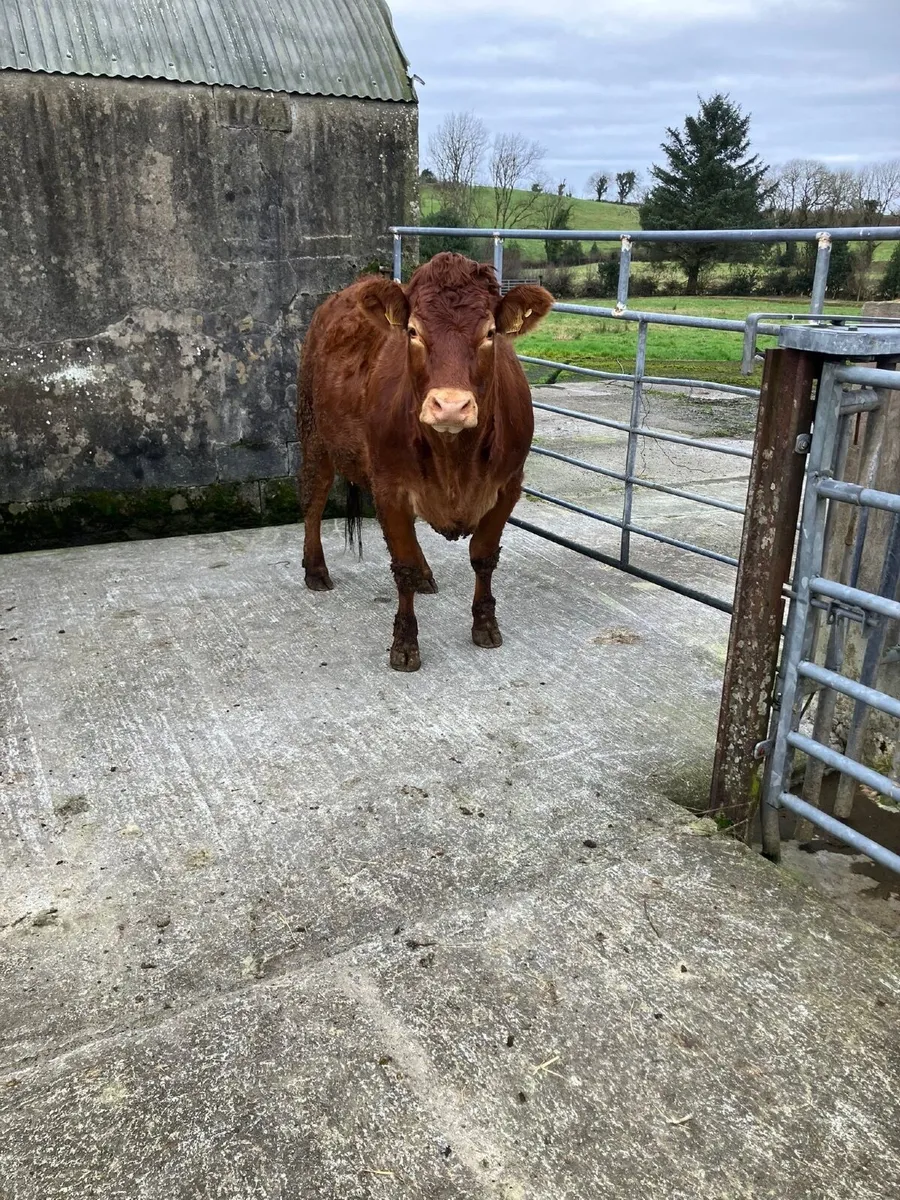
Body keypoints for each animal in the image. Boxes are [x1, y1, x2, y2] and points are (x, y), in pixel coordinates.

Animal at [297, 251, 554, 671]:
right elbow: (401, 568)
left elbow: (483, 557)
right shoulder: (389, 487)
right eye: (414, 332)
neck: (455, 460)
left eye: (489, 333)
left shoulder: (508, 486)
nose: (450, 405)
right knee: (313, 501)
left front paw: (485, 625)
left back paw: (425, 575)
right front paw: (405, 644)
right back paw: (316, 569)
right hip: (313, 434)